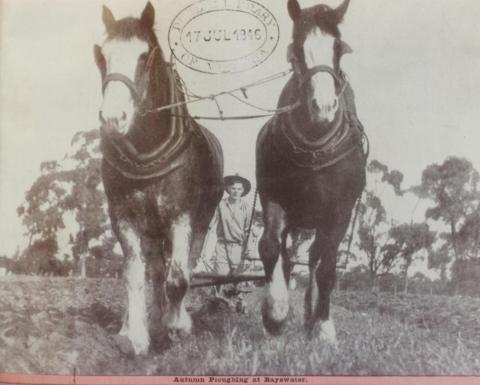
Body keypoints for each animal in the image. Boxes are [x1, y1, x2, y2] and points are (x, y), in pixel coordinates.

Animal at [93, 2, 223, 354]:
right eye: (102, 56)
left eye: (143, 55)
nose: (112, 119)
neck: (148, 151)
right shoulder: (124, 218)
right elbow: (134, 276)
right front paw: (137, 337)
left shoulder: (182, 217)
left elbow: (178, 278)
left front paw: (176, 324)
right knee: (152, 271)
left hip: (199, 224)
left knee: (181, 268)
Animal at [256, 0, 366, 342]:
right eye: (297, 50)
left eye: (338, 48)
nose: (324, 107)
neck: (314, 144)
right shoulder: (273, 196)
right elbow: (270, 246)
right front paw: (276, 314)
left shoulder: (341, 210)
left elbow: (327, 266)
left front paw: (325, 328)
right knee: (289, 254)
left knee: (318, 258)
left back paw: (314, 318)